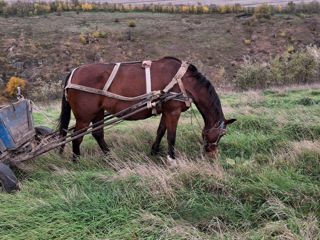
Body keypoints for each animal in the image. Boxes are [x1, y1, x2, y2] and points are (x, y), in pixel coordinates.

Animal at [58, 56, 236, 165]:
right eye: (220, 134)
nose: (212, 154)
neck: (184, 81)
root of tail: (73, 72)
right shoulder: (173, 111)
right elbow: (171, 136)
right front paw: (172, 159)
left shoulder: (166, 111)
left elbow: (161, 131)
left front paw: (154, 151)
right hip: (84, 116)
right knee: (76, 136)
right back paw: (76, 160)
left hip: (98, 112)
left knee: (97, 134)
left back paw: (109, 156)